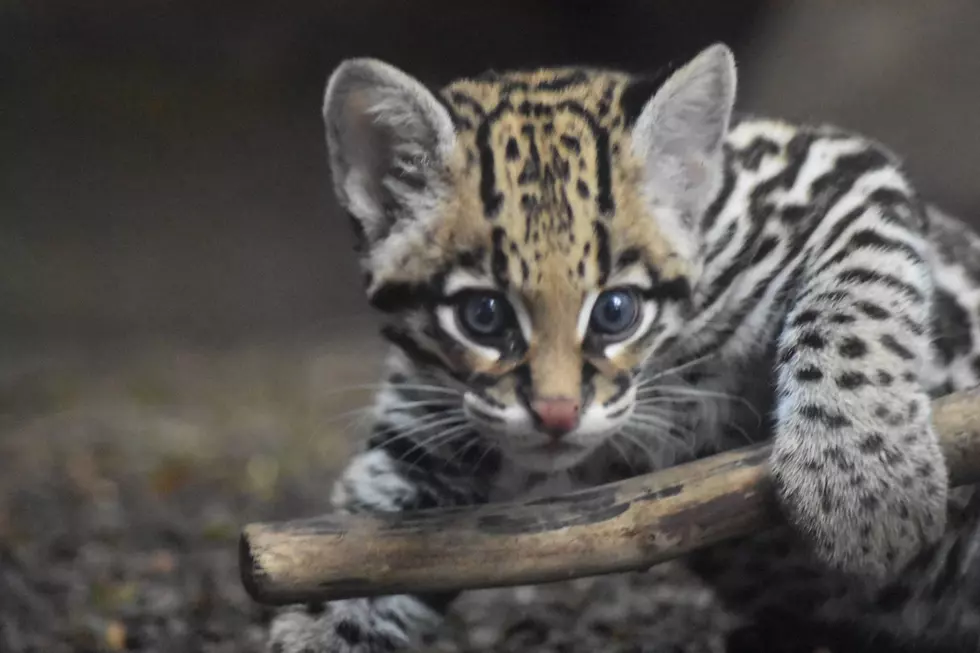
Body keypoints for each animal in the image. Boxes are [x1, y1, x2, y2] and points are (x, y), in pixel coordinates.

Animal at [270, 43, 980, 648]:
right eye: (483, 316)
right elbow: (358, 554)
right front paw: (315, 628)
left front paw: (865, 487)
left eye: (616, 312)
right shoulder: (423, 437)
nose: (557, 414)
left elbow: (857, 296)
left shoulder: (838, 175)